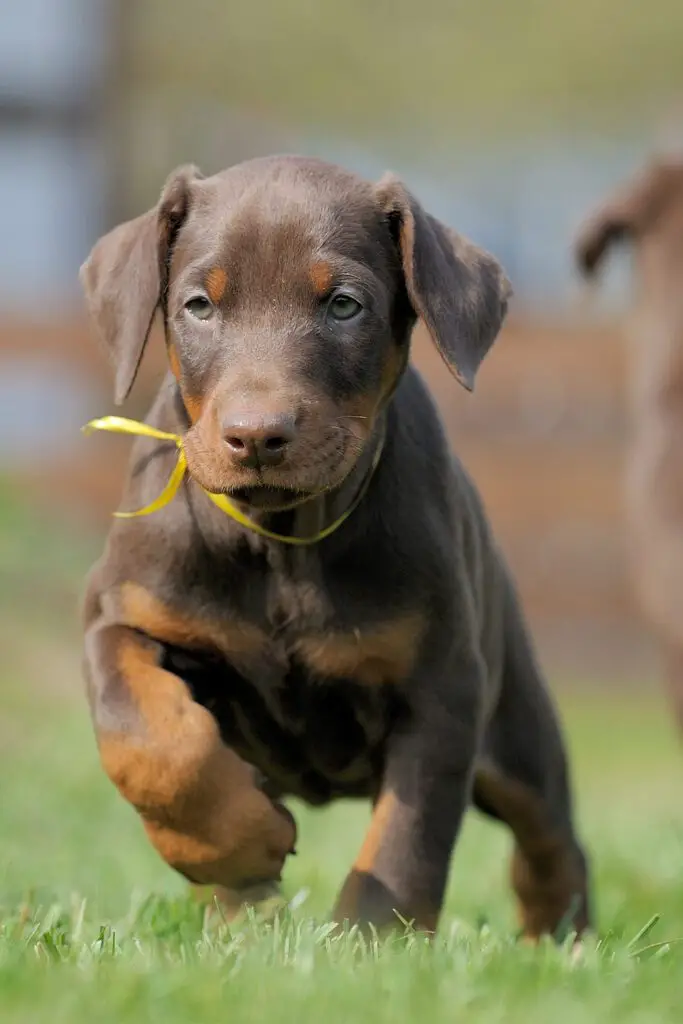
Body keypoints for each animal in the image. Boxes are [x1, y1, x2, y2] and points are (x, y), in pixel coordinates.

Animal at [80, 153, 589, 937]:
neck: (282, 541)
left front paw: (372, 943)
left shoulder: (442, 687)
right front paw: (238, 843)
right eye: (198, 305)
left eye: (344, 306)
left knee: (550, 836)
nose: (256, 435)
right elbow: (143, 734)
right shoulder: (122, 615)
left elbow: (405, 843)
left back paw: (558, 939)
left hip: (516, 722)